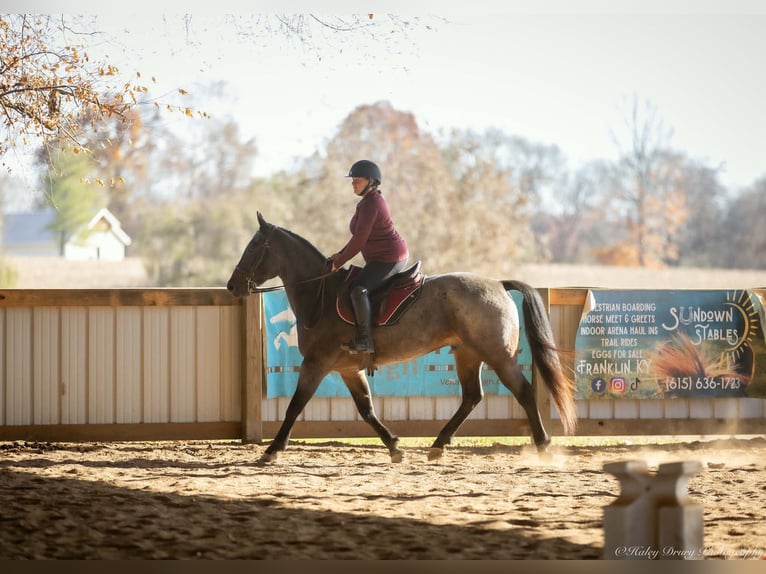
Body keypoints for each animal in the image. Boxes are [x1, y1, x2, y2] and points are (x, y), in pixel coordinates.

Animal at [227, 213, 577, 463]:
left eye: (254, 248)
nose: (232, 286)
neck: (319, 295)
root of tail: (499, 285)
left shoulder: (316, 363)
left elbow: (295, 405)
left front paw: (272, 449)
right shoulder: (347, 369)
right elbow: (367, 410)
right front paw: (394, 446)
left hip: (498, 356)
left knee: (524, 391)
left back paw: (543, 445)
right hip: (467, 353)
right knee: (472, 397)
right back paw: (438, 445)